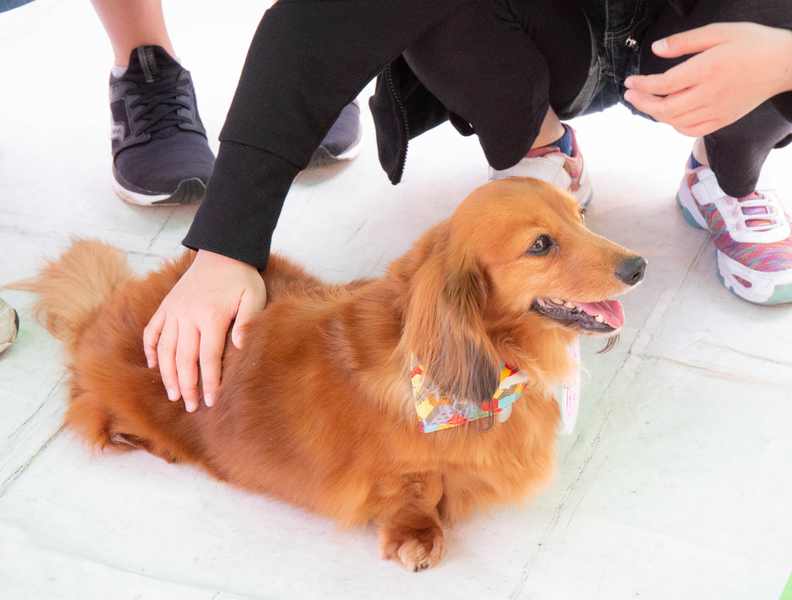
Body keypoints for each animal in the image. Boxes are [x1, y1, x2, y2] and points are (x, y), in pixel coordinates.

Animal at [13, 178, 645, 572]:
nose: (639, 266)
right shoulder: (400, 471)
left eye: (580, 217)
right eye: (540, 244)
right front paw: (418, 537)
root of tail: (102, 311)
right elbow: (419, 491)